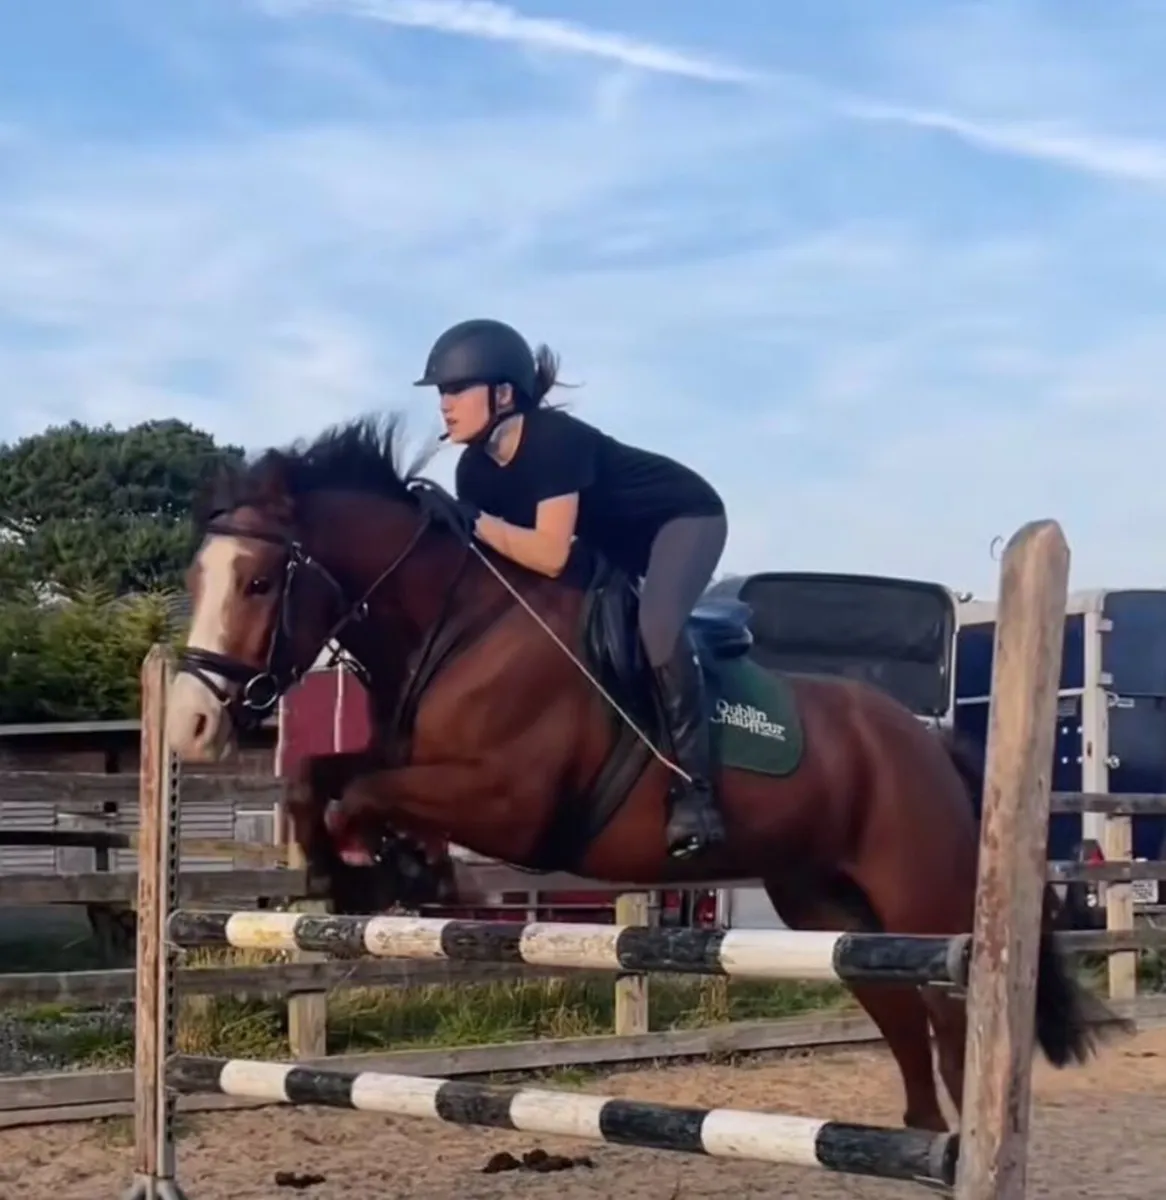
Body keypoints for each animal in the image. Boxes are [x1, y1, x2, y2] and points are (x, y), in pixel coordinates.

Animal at [166, 413, 1105, 1135]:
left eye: (258, 582)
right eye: (195, 578)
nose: (191, 724)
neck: (458, 624)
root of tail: (928, 740)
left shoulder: (508, 799)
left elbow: (361, 795)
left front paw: (391, 871)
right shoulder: (412, 763)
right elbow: (318, 780)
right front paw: (365, 873)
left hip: (921, 896)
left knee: (955, 1020)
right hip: (826, 905)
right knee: (905, 1015)